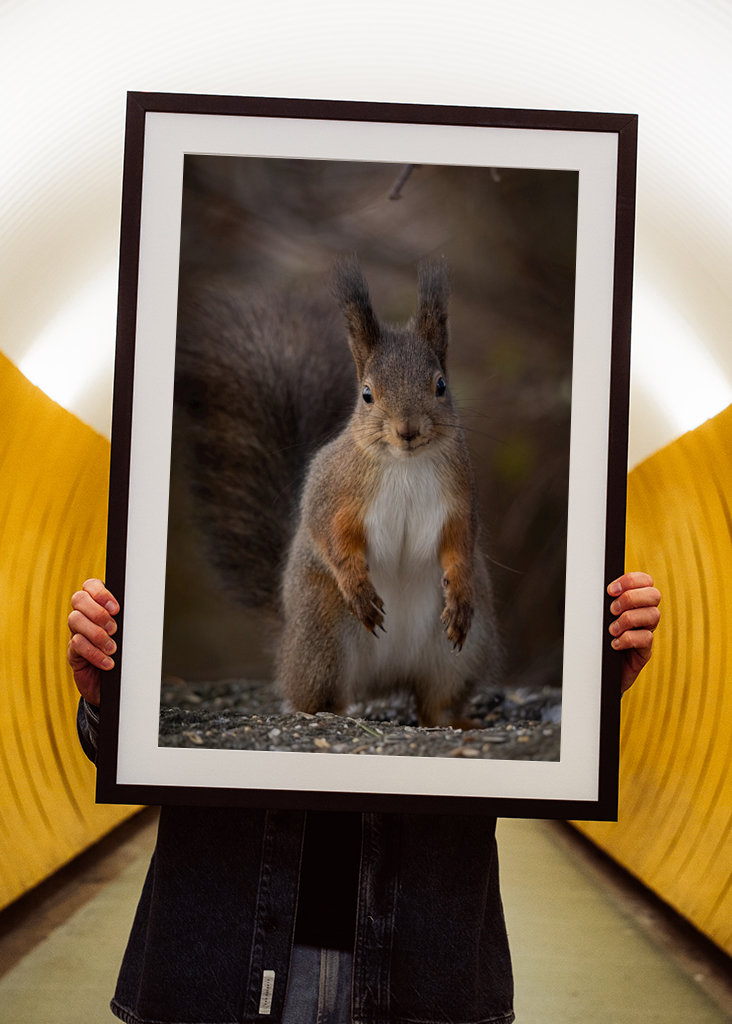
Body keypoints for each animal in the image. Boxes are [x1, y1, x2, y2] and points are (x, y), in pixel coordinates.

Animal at [174, 258, 500, 728]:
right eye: (366, 394)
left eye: (440, 386)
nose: (407, 430)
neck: (404, 464)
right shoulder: (334, 492)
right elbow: (331, 536)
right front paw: (357, 586)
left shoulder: (460, 497)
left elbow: (460, 543)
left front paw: (458, 593)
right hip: (323, 634)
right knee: (318, 695)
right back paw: (328, 713)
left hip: (462, 653)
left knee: (435, 700)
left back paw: (455, 721)